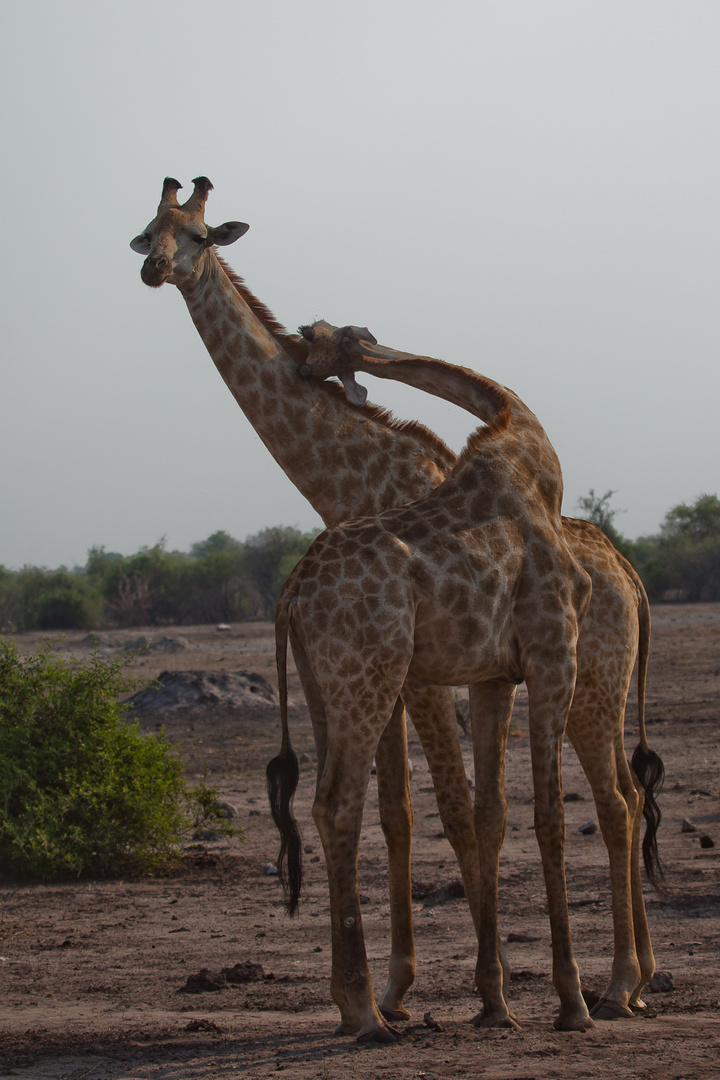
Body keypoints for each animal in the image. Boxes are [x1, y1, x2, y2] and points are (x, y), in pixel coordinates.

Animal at [131, 181, 664, 1032]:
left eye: (198, 235)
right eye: (149, 228)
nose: (154, 268)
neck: (348, 478)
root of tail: (629, 574)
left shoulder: (426, 678)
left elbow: (454, 811)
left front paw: (478, 989)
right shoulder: (407, 677)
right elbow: (404, 814)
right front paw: (407, 990)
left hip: (593, 684)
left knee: (615, 801)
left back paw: (616, 985)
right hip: (584, 688)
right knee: (623, 791)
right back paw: (634, 981)